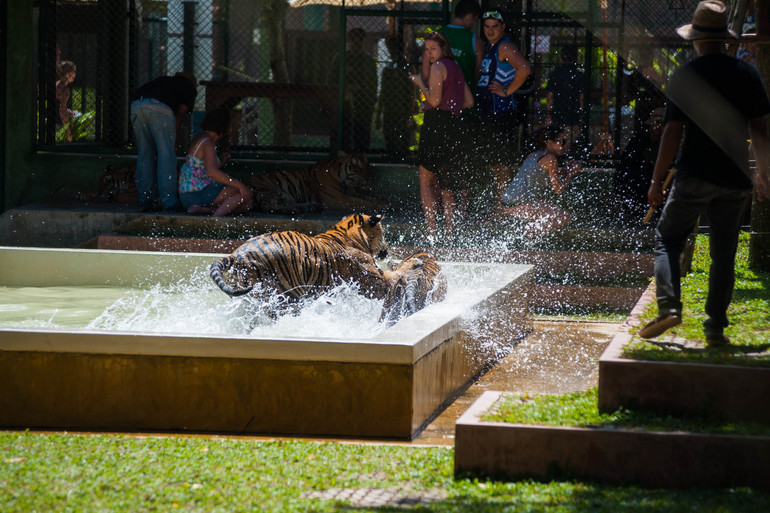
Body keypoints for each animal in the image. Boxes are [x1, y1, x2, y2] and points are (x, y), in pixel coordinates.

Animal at [210, 214, 404, 311]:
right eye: (383, 233)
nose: (387, 249)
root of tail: (238, 255)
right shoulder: (374, 283)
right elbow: (391, 278)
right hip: (287, 298)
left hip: (248, 300)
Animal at [244, 152, 388, 215]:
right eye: (357, 167)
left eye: (368, 165)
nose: (369, 178)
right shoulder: (338, 199)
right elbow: (362, 203)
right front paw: (381, 206)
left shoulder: (353, 192)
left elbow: (370, 198)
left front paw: (386, 203)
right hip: (267, 189)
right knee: (269, 206)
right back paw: (292, 210)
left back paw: (310, 207)